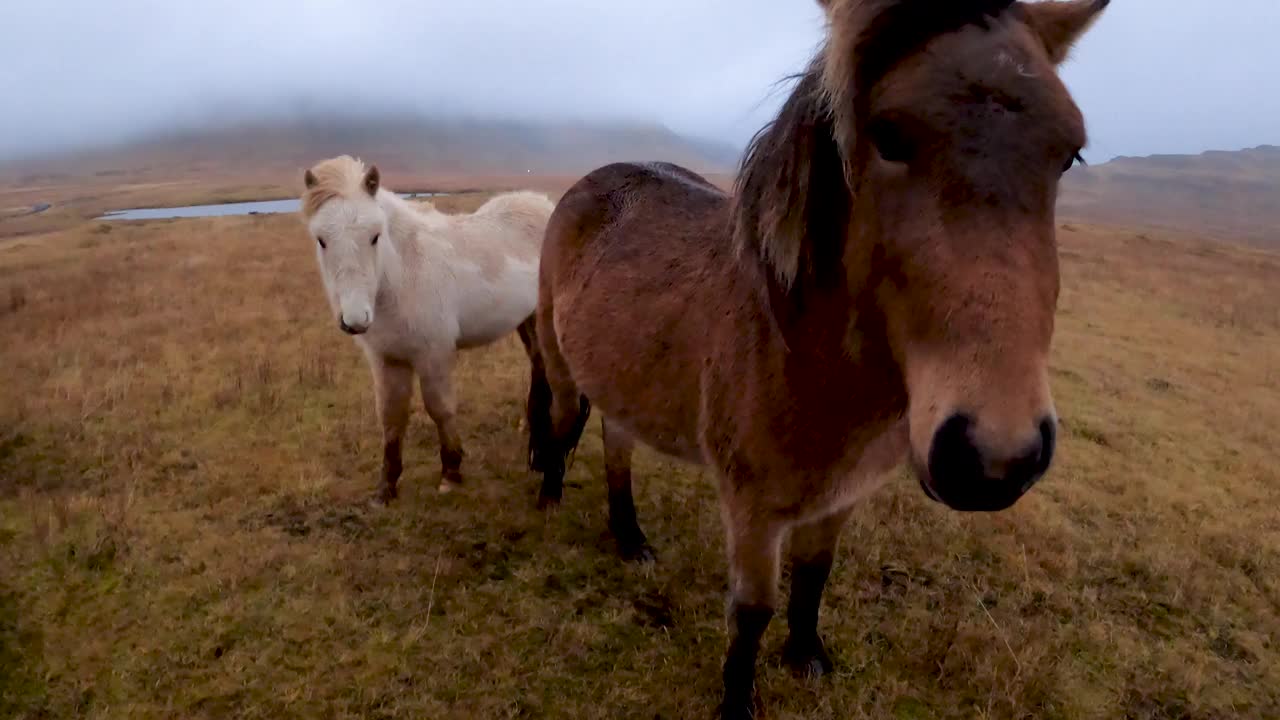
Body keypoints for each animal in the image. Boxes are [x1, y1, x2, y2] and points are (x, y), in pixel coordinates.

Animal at [304, 154, 555, 502]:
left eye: (375, 235)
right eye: (322, 240)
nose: (355, 319)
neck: (403, 274)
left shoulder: (434, 356)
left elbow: (440, 408)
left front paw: (451, 472)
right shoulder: (387, 361)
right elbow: (391, 417)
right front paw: (386, 487)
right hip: (526, 320)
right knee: (539, 367)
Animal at [529, 2, 1111, 712]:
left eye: (1069, 154)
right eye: (887, 135)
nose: (994, 458)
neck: (809, 366)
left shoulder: (840, 496)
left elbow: (814, 575)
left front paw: (806, 655)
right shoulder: (751, 508)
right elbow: (752, 608)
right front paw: (738, 699)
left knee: (617, 446)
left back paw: (630, 536)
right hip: (560, 361)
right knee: (563, 424)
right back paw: (550, 500)